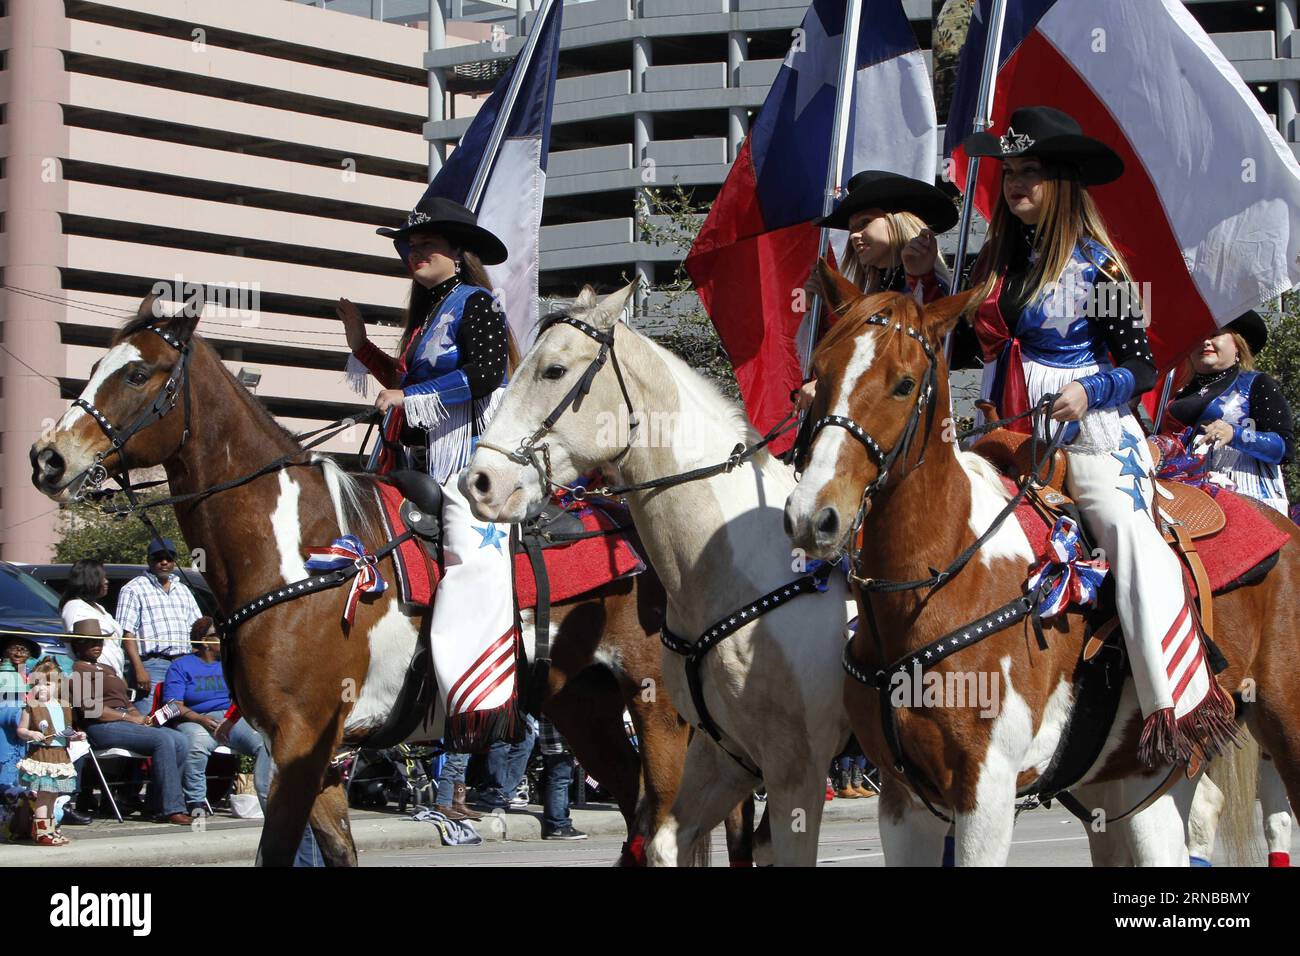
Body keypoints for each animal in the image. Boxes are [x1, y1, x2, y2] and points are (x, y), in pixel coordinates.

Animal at [25, 297, 707, 868]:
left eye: (139, 375)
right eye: (96, 364)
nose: (47, 458)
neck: (298, 554)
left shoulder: (302, 739)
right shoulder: (317, 754)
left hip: (659, 712)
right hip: (584, 706)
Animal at [780, 261, 1300, 868]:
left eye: (904, 383)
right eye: (817, 374)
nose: (813, 516)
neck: (940, 583)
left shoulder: (987, 789)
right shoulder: (903, 800)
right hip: (1151, 772)